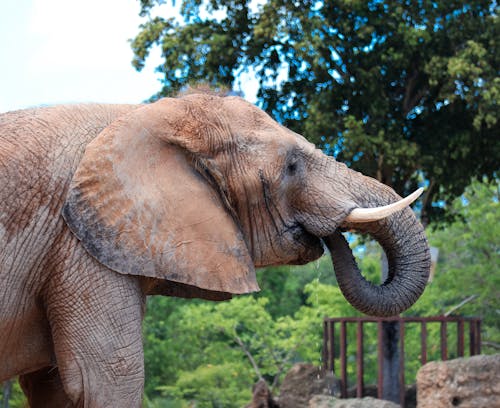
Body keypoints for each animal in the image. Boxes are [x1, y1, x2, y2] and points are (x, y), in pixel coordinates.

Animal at [0, 94, 430, 406]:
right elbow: (105, 381)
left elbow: (55, 389)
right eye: (292, 166)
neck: (148, 115)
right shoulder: (79, 244)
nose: (329, 235)